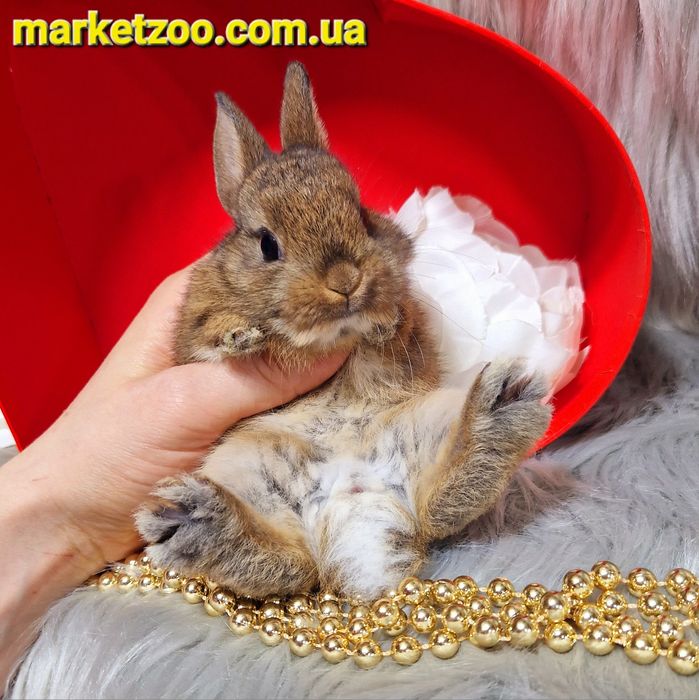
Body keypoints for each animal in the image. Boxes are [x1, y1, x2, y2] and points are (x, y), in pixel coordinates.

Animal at [135, 61, 552, 600]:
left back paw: (499, 410)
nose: (345, 280)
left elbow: (405, 329)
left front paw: (386, 323)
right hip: (244, 470)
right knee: (290, 562)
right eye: (268, 244)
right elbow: (205, 336)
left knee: (440, 500)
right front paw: (239, 336)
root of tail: (353, 503)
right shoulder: (191, 328)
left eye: (361, 215)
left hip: (423, 424)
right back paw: (197, 522)